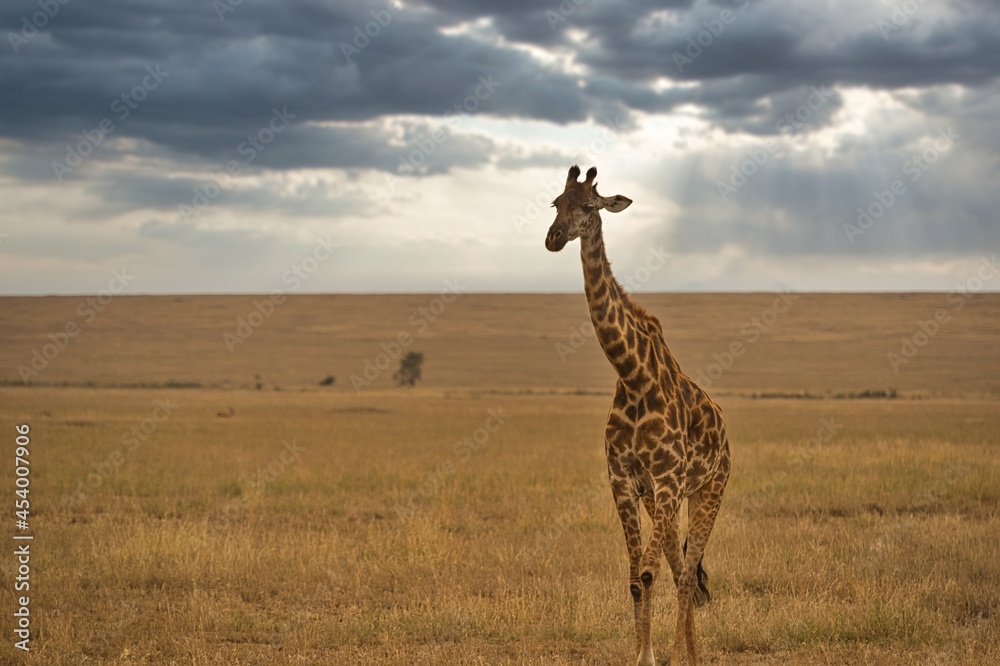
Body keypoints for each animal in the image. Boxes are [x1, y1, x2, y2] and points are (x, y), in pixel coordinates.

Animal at [544, 165, 731, 666]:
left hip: (708, 490)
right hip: (668, 498)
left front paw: (655, 658)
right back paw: (691, 656)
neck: (632, 376)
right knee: (679, 567)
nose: (553, 238)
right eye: (555, 203)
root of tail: (725, 431)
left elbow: (647, 574)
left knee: (685, 573)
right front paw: (641, 655)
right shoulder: (624, 481)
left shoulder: (666, 481)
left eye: (589, 206)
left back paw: (685, 656)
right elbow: (634, 577)